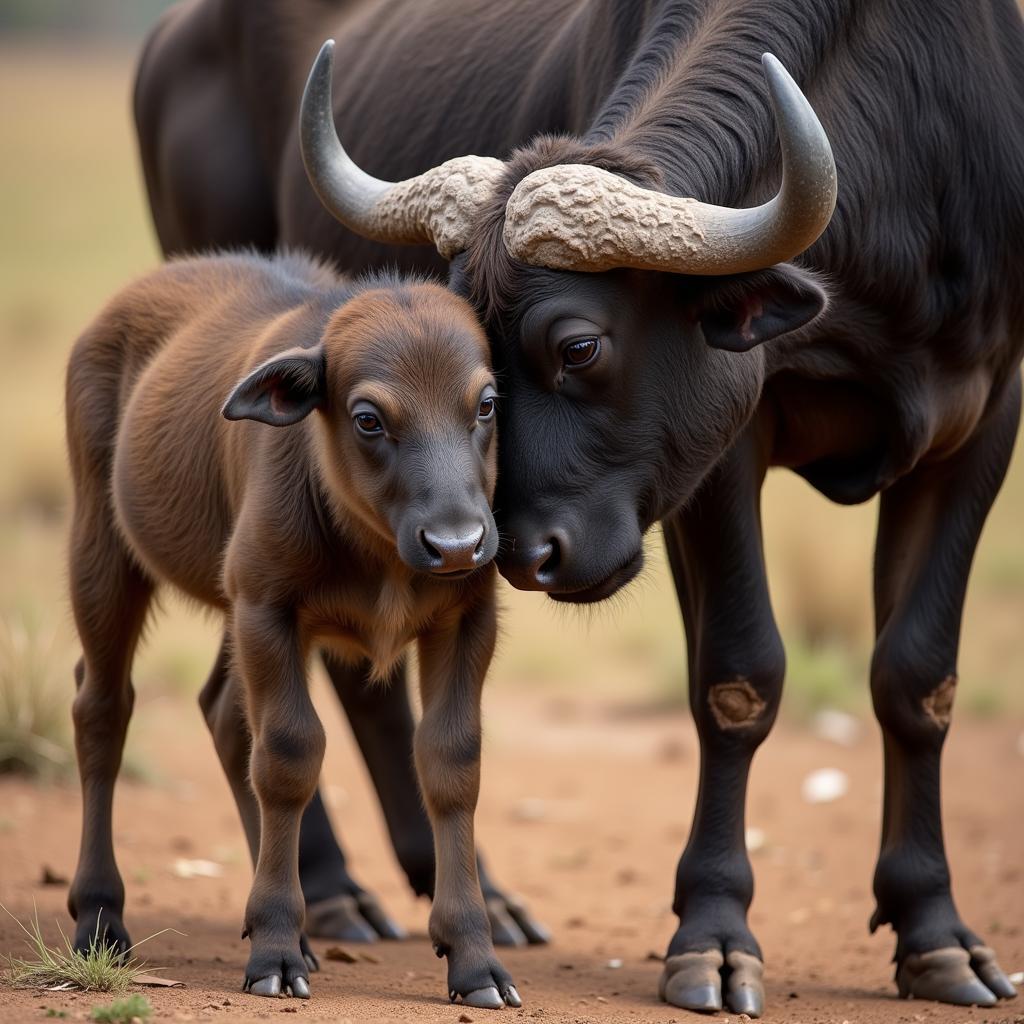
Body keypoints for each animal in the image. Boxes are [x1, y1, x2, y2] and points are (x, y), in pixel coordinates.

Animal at [64, 253, 520, 1007]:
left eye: (485, 404)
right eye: (368, 418)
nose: (456, 543)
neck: (379, 548)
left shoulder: (464, 621)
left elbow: (452, 764)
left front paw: (475, 959)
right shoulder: (267, 608)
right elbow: (288, 756)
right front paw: (275, 950)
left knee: (222, 714)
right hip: (102, 551)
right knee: (102, 709)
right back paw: (100, 916)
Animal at [136, 0, 1024, 1011]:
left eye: (579, 348)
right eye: (484, 358)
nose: (518, 554)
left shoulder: (986, 413)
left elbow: (918, 677)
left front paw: (937, 936)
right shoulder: (723, 448)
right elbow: (739, 675)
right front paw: (716, 939)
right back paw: (335, 894)